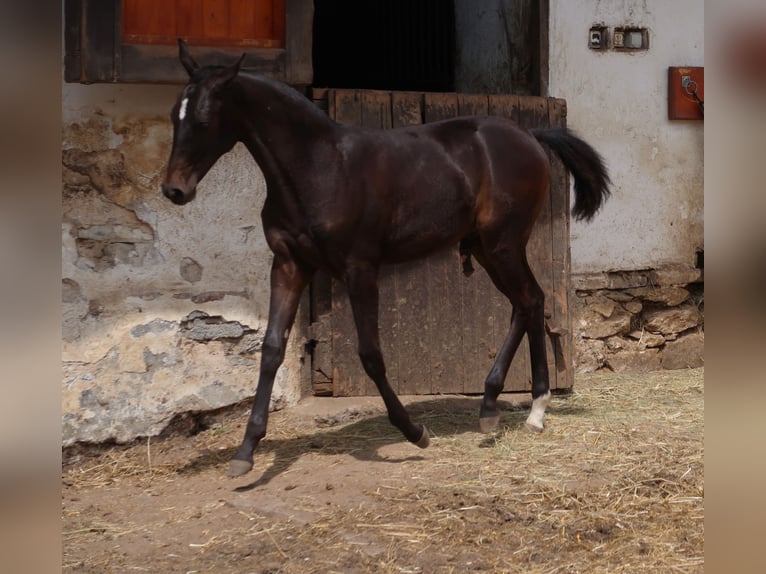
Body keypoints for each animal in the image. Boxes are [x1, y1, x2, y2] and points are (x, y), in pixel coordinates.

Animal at [162, 40, 612, 480]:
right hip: (487, 248)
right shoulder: (289, 265)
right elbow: (272, 347)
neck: (320, 168)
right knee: (525, 305)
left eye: (204, 119)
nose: (174, 190)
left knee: (532, 300)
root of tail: (529, 135)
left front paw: (414, 432)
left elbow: (371, 353)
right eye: (173, 115)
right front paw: (246, 450)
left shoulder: (359, 269)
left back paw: (534, 409)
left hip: (504, 244)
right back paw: (497, 408)